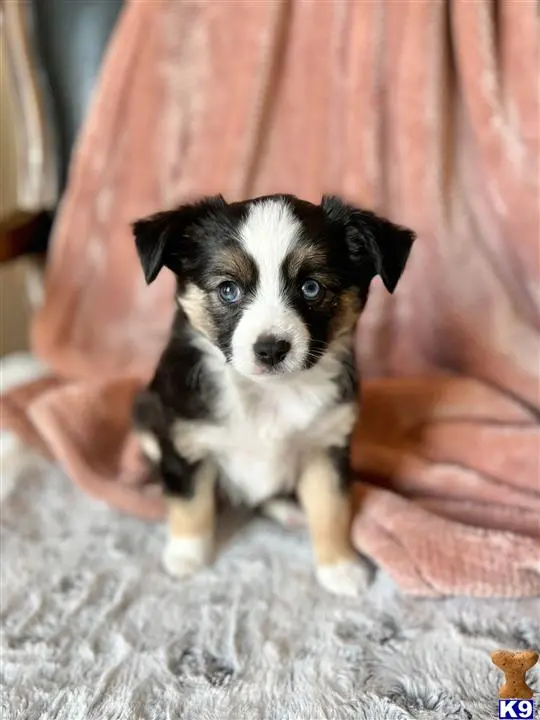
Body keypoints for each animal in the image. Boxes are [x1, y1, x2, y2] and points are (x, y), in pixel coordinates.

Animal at [130, 191, 414, 596]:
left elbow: (332, 509)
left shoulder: (326, 447)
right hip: (144, 413)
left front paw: (340, 567)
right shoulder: (184, 439)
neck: (267, 391)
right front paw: (186, 556)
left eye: (311, 287)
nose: (271, 349)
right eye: (228, 289)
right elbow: (189, 501)